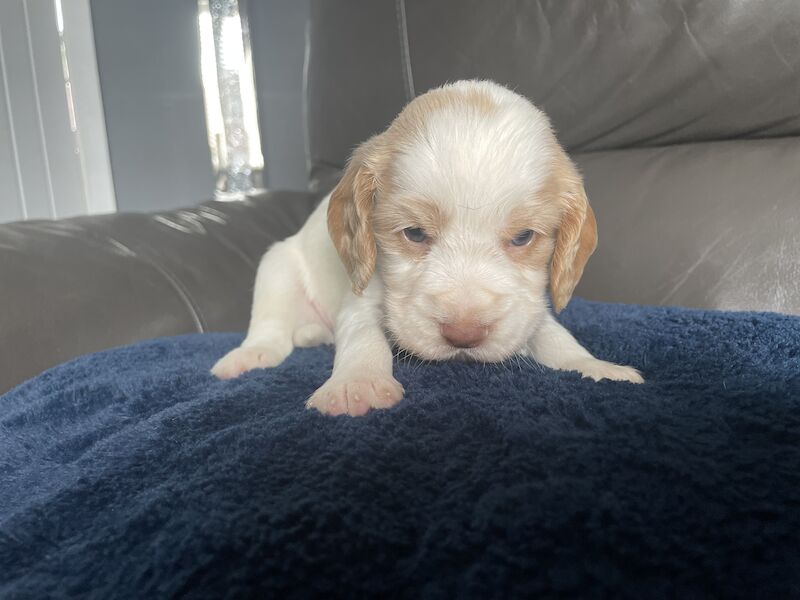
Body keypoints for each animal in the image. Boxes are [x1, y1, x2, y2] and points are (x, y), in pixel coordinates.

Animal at [212, 79, 644, 414]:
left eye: (523, 237)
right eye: (415, 233)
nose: (464, 335)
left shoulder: (528, 308)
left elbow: (555, 336)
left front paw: (593, 365)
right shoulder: (364, 294)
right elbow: (363, 336)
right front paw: (357, 384)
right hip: (277, 267)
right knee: (270, 327)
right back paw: (250, 355)